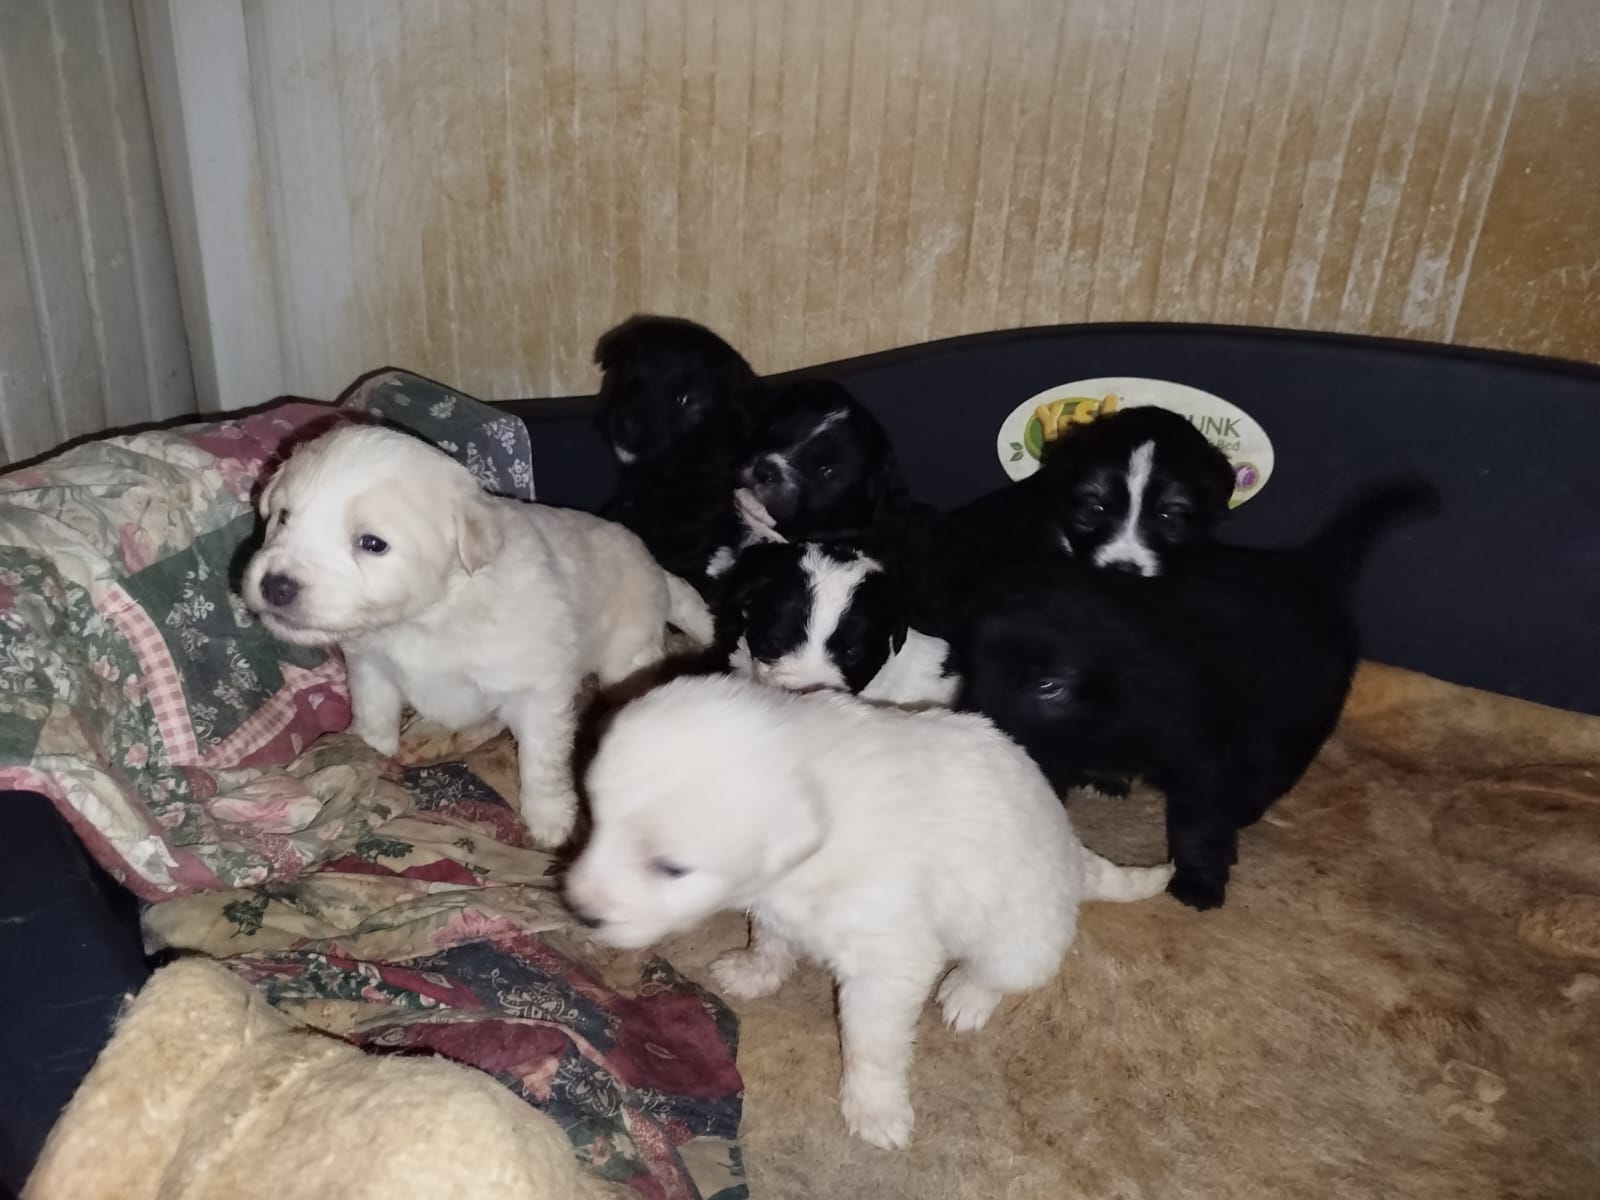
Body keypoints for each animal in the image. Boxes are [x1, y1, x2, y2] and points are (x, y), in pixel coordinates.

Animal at [241, 423, 712, 846]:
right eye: (283, 517)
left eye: (371, 543)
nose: (276, 586)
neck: (427, 617)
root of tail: (655, 567)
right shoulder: (370, 666)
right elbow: (374, 715)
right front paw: (367, 749)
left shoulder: (538, 691)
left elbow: (541, 760)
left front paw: (550, 819)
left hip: (628, 651)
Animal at [563, 675, 1172, 1149]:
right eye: (597, 818)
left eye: (670, 867)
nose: (580, 911)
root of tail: (1075, 853)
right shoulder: (776, 902)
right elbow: (771, 940)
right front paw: (753, 972)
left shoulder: (889, 955)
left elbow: (872, 1042)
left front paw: (875, 1109)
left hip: (1025, 937)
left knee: (999, 974)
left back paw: (965, 995)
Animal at [951, 477, 1440, 910]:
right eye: (971, 673)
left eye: (1048, 686)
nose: (979, 734)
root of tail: (1309, 567)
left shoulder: (1202, 757)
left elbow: (1198, 823)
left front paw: (1199, 880)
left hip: (1296, 716)